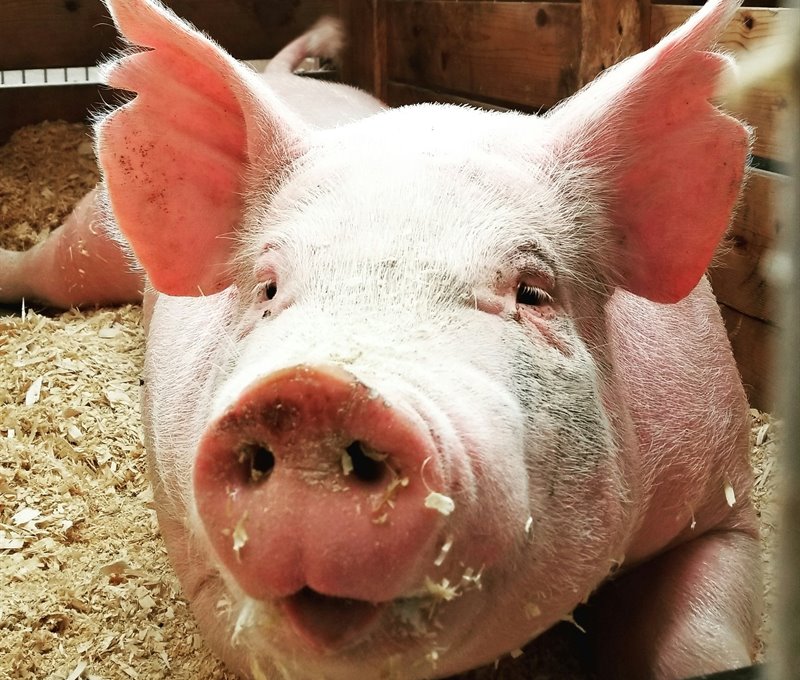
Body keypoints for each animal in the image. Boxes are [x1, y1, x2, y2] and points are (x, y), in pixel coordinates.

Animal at [0, 0, 761, 678]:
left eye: (532, 293)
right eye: (268, 288)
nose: (313, 394)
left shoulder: (724, 492)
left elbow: (704, 643)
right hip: (92, 235)